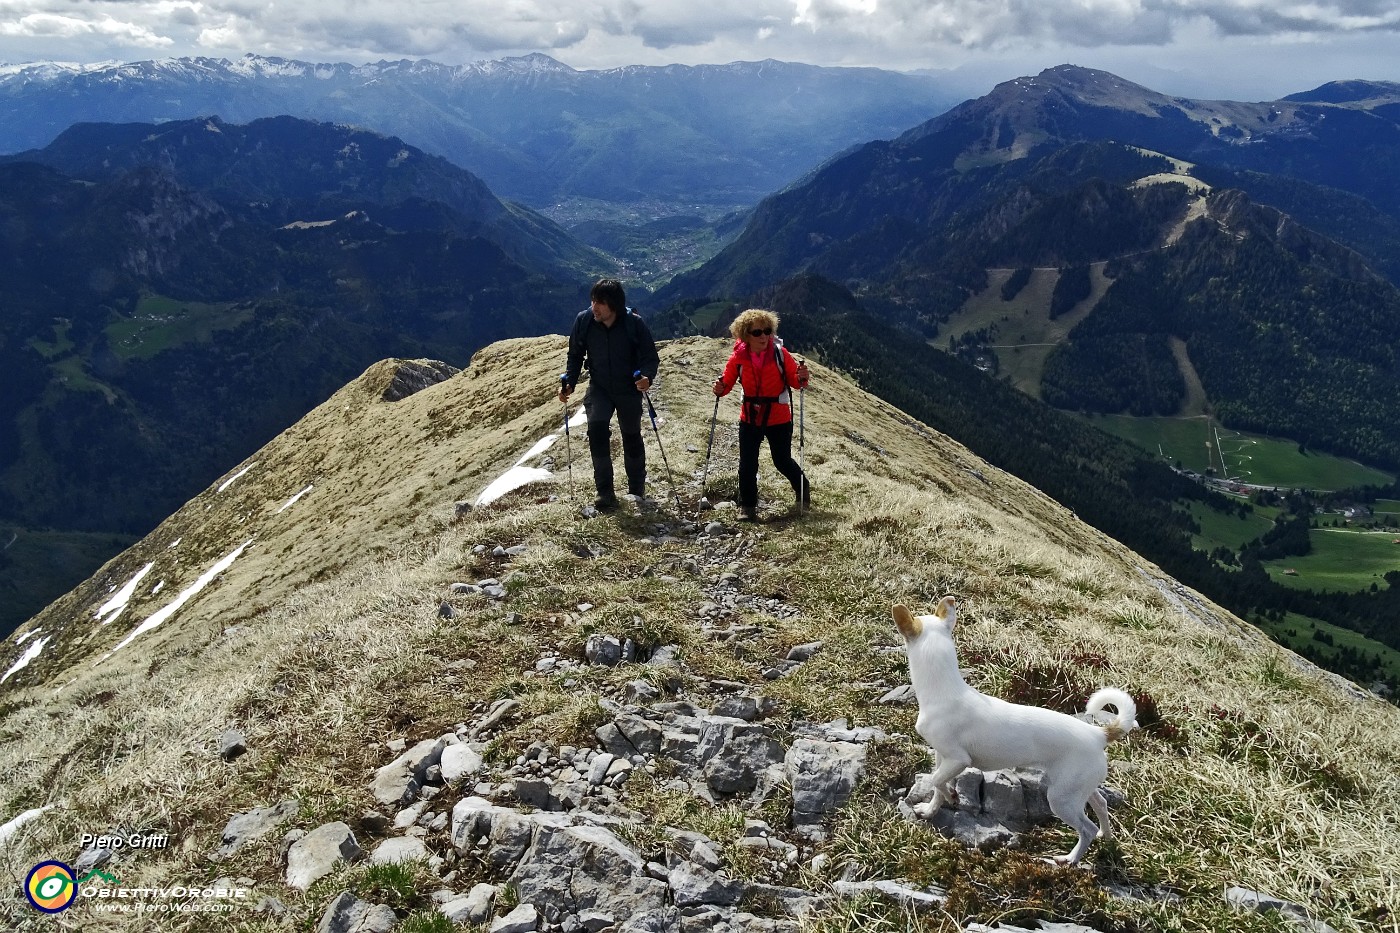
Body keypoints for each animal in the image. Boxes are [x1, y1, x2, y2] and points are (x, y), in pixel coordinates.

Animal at [896, 599, 1136, 862]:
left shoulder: (958, 759)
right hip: (1079, 789)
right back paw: (1107, 836)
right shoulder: (943, 756)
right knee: (1101, 804)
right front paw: (931, 810)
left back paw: (1070, 860)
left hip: (1061, 799)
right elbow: (937, 784)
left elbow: (935, 780)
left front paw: (951, 796)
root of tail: (1099, 735)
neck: (945, 689)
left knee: (1086, 828)